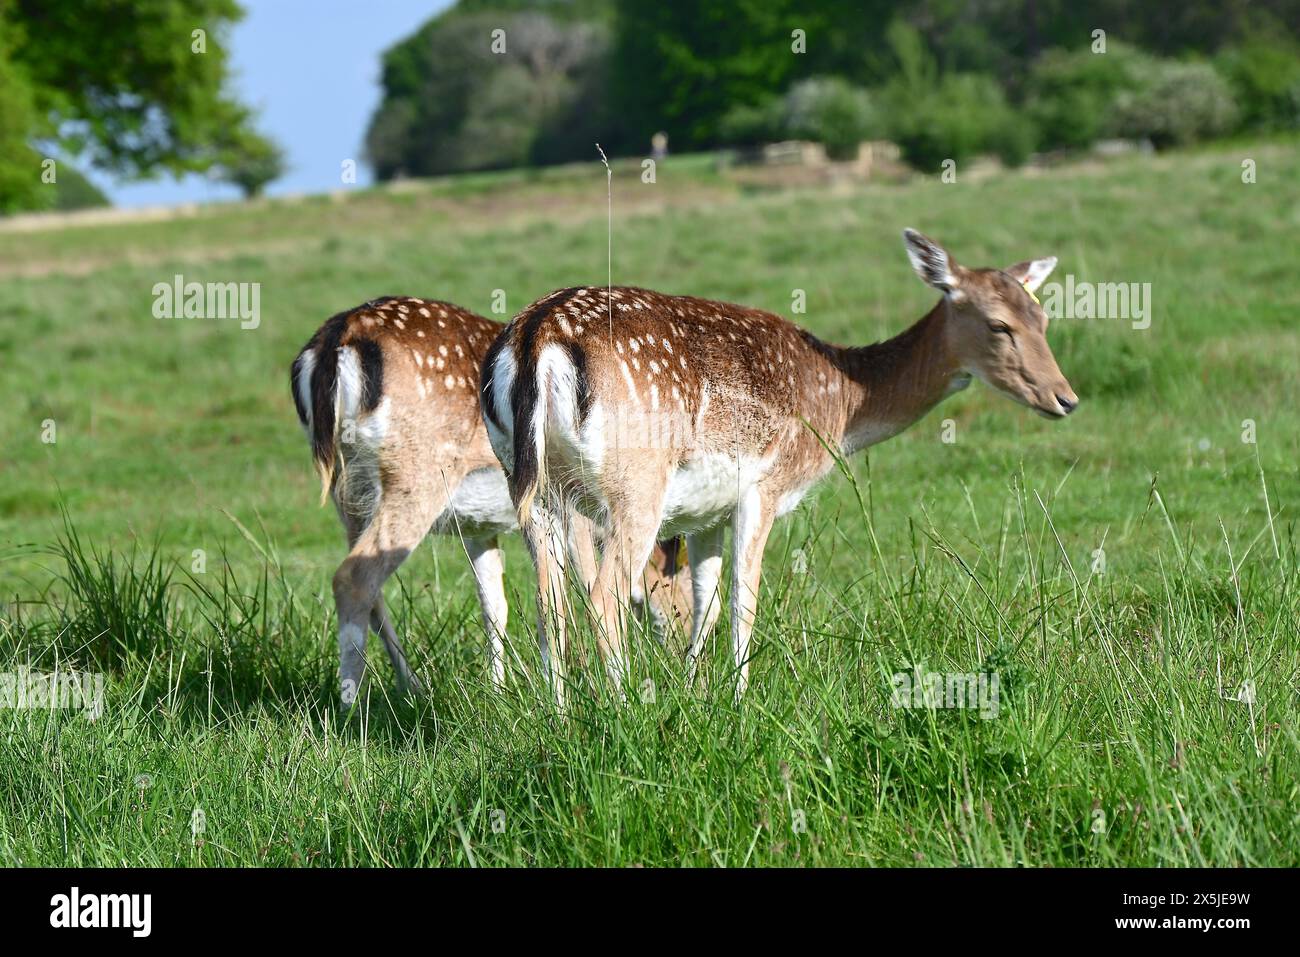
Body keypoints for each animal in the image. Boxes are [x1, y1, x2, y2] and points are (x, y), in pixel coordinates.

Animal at [291, 296, 691, 707]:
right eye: (683, 584)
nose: (682, 650)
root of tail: (334, 341)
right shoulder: (570, 508)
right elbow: (584, 579)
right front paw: (584, 681)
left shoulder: (479, 528)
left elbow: (494, 604)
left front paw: (497, 691)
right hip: (415, 476)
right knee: (353, 578)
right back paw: (352, 707)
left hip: (349, 495)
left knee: (372, 590)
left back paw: (413, 687)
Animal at [481, 229, 1077, 703]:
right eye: (999, 325)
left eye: (1045, 317)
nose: (1065, 398)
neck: (839, 402)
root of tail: (538, 338)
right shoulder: (764, 487)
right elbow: (744, 601)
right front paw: (739, 704)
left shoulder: (704, 513)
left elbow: (705, 603)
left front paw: (697, 695)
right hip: (636, 484)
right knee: (605, 595)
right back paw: (625, 711)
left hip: (530, 485)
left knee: (548, 600)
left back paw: (559, 718)